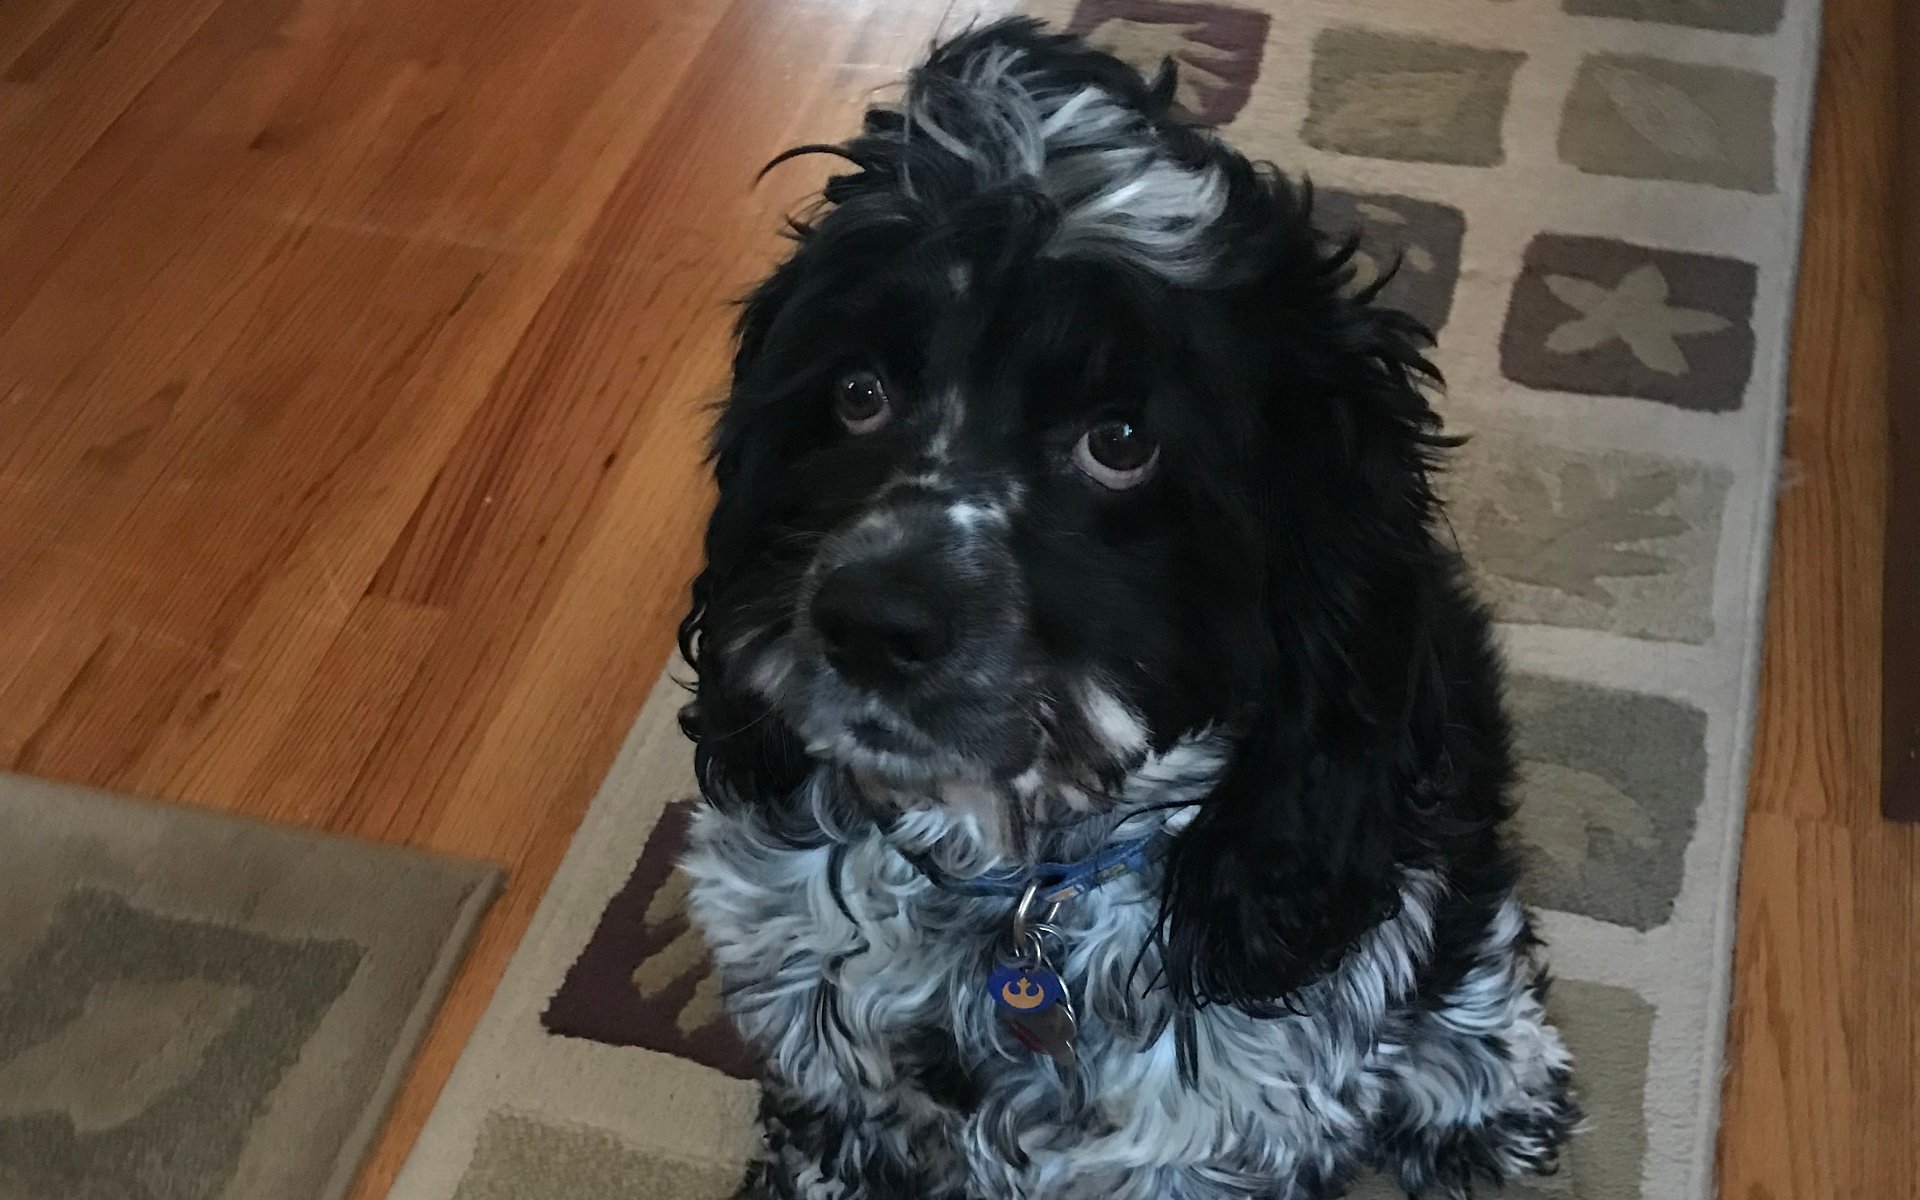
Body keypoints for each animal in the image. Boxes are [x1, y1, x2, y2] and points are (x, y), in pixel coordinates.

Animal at [677, 19, 1578, 1200]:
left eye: (1120, 442)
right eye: (858, 393)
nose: (867, 622)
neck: (1015, 883)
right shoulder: (834, 1058)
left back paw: (1486, 1092)